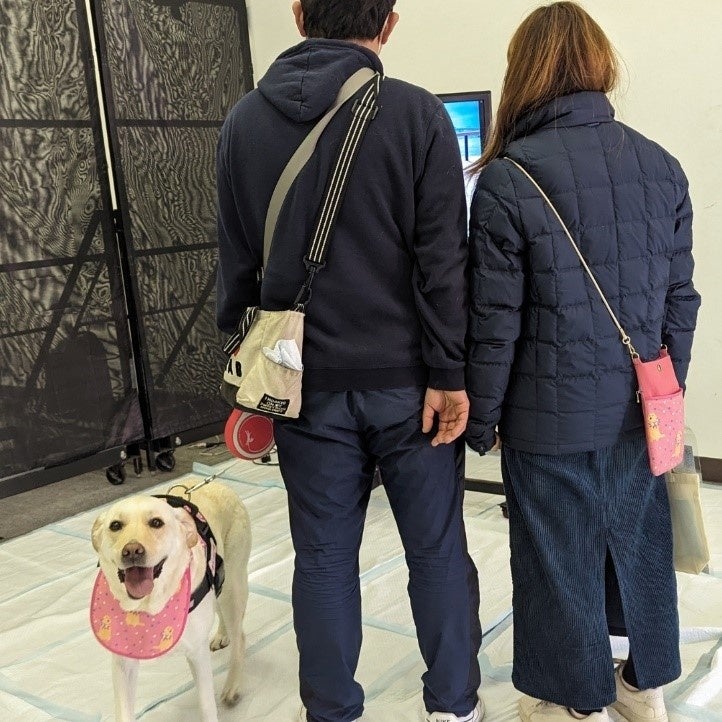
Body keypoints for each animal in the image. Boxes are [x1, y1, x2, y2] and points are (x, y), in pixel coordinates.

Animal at [91, 482, 251, 722]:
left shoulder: (196, 653)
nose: (132, 551)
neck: (149, 606)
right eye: (115, 525)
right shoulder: (122, 663)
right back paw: (222, 635)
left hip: (233, 584)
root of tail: (216, 483)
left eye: (156, 523)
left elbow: (207, 706)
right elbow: (124, 713)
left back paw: (233, 686)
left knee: (239, 635)